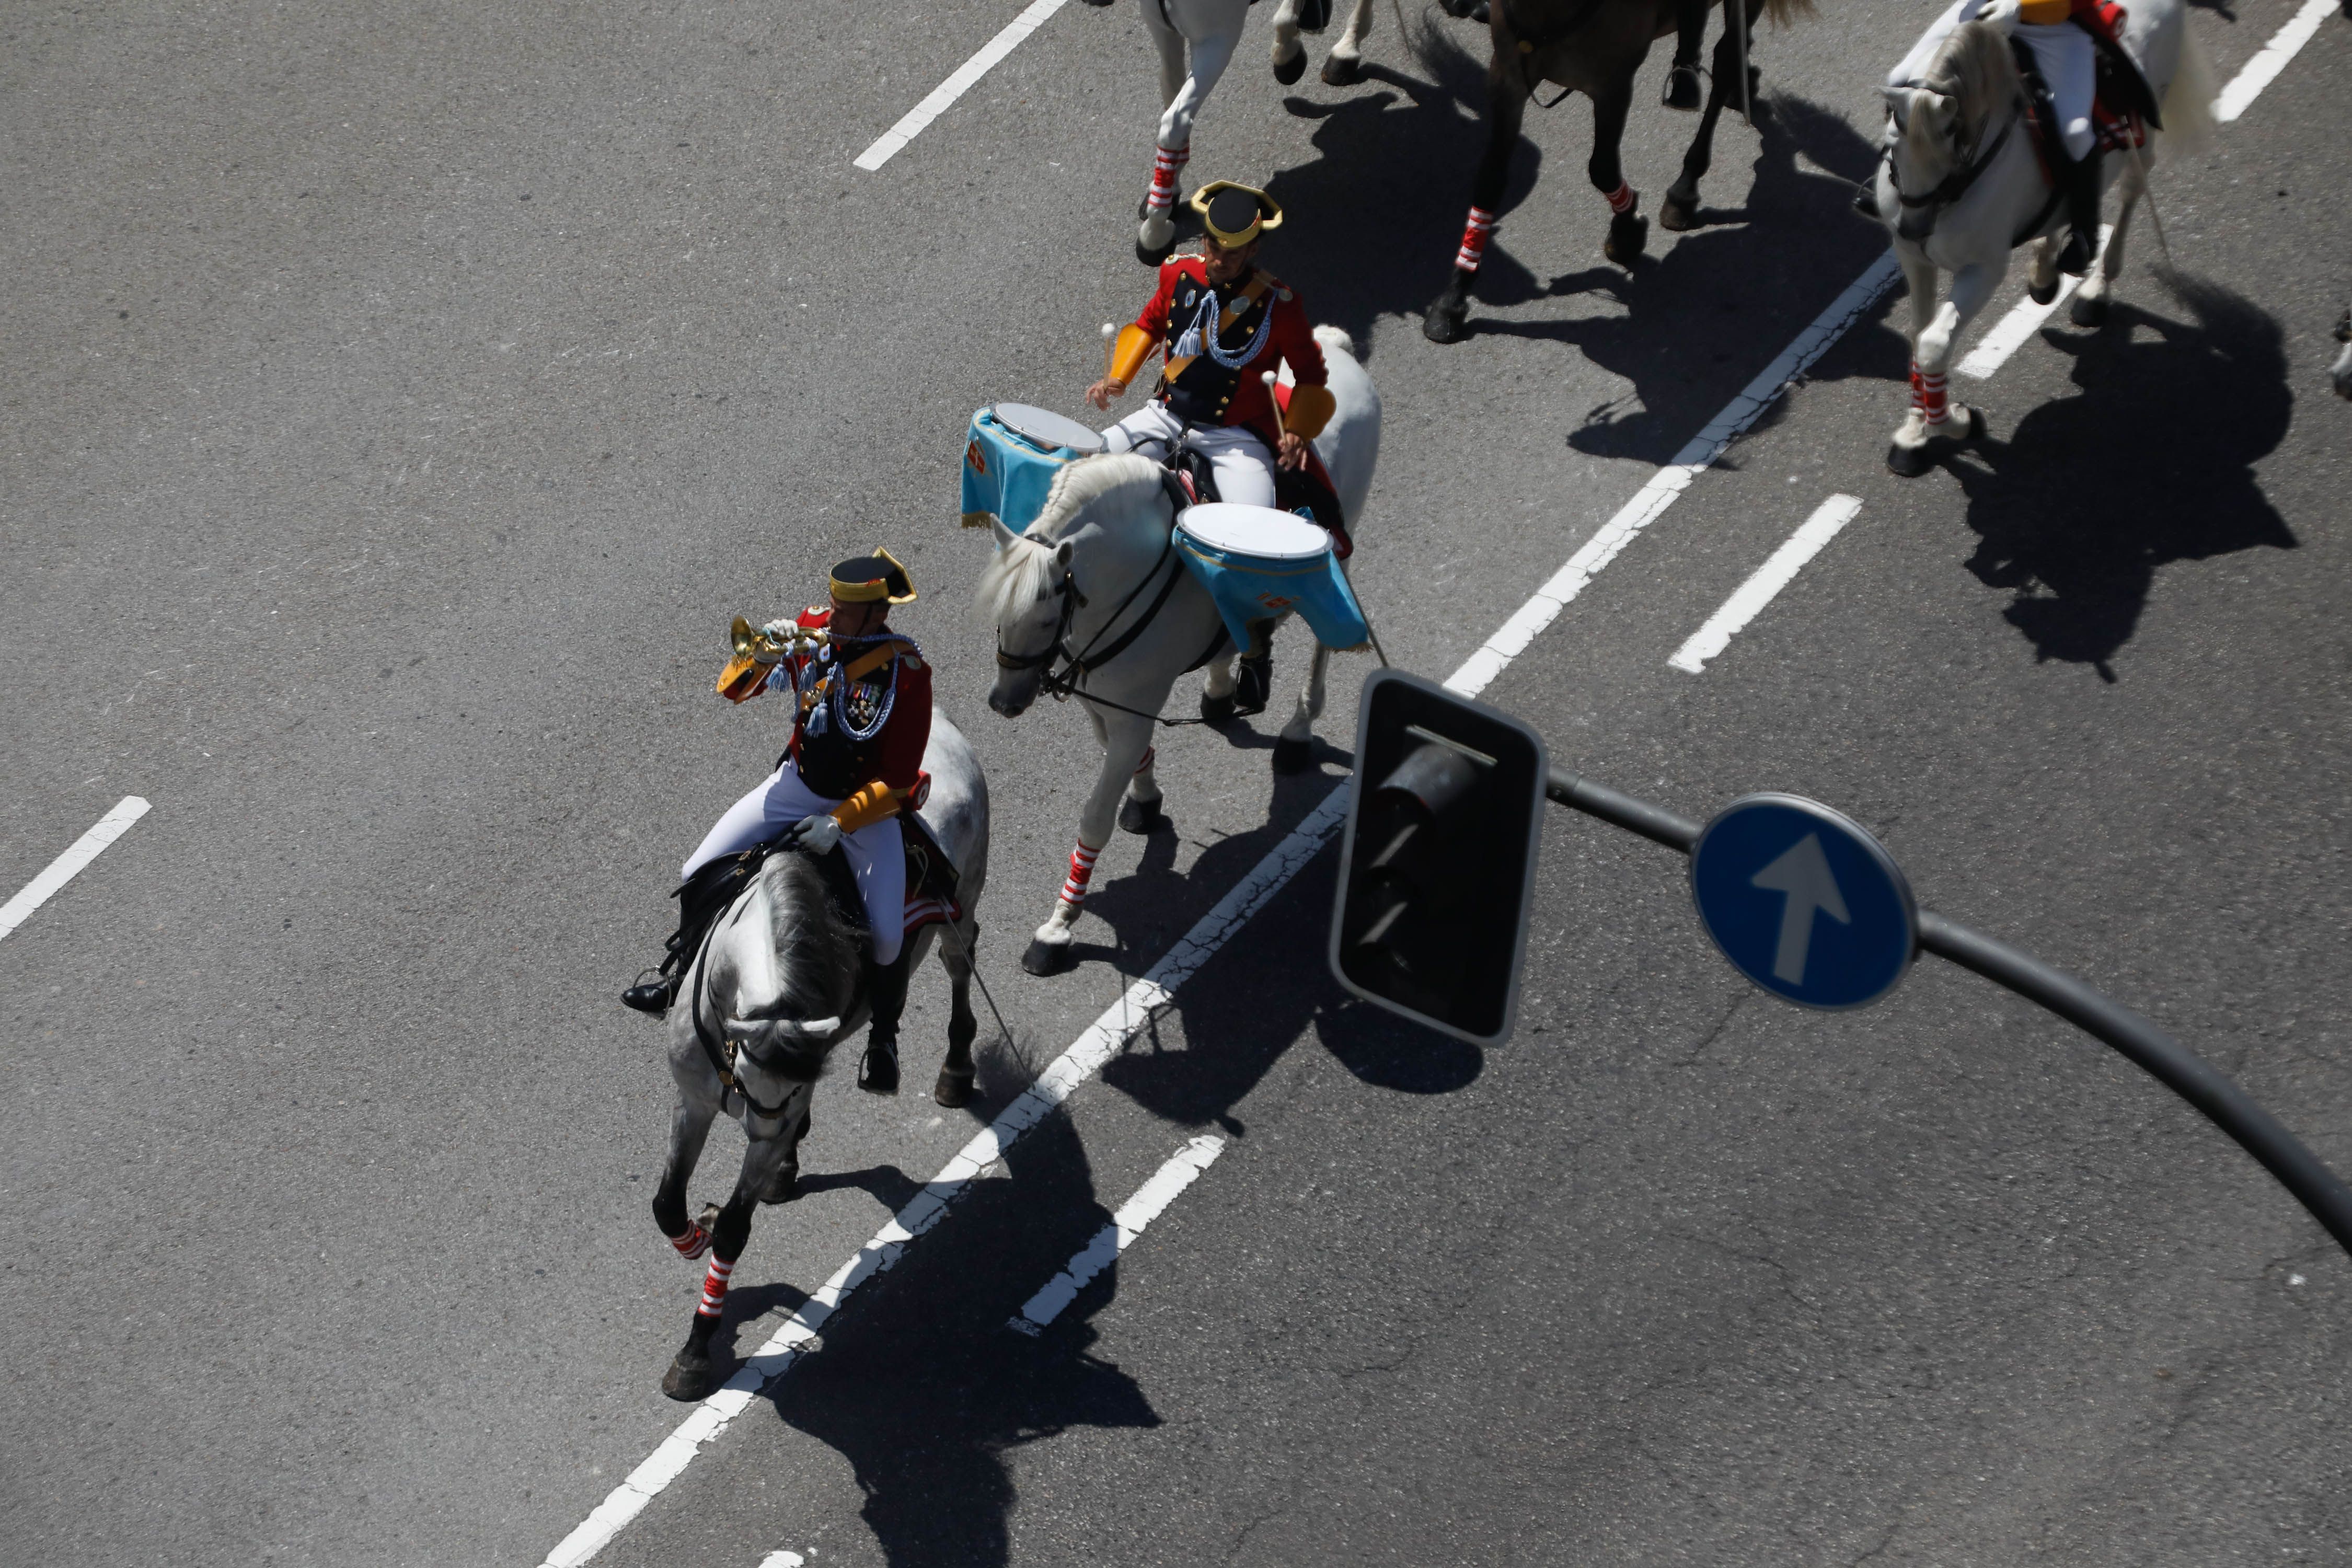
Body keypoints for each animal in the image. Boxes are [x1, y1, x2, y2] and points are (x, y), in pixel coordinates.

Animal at [654, 710, 993, 1401]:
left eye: (769, 1095)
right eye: (739, 1076)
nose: (759, 1125)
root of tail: (943, 727)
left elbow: (736, 1226)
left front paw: (697, 1350)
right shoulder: (694, 1097)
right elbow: (668, 1202)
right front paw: (695, 1235)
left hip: (960, 911)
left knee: (957, 970)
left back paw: (955, 1069)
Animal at [974, 324, 1374, 973]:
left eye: (1046, 613)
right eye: (998, 614)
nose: (1005, 703)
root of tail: (1333, 348)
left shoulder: (1132, 706)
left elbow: (1094, 817)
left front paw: (1058, 929)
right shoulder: (1105, 702)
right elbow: (1128, 764)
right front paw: (1146, 798)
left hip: (1335, 550)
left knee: (1322, 642)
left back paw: (1297, 728)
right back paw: (1224, 686)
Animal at [1120, 0, 1374, 261]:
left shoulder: (1217, 42)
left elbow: (1175, 121)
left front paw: (1155, 233)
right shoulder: (1163, 29)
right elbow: (1172, 91)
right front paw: (1168, 193)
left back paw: (1345, 51)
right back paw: (1290, 51)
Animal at [1421, 0, 1806, 343]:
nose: (1462, 5)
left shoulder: (1612, 84)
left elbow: (1602, 168)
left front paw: (1627, 232)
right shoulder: (1508, 77)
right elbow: (1491, 179)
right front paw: (1454, 297)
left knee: (1726, 58)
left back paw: (1684, 191)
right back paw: (1746, 86)